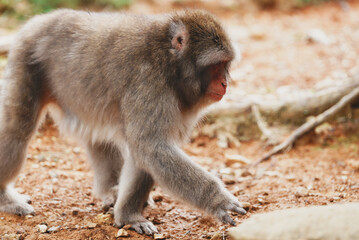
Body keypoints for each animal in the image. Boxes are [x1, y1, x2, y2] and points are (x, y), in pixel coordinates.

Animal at [0, 8, 246, 234]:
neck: (169, 61)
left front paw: (128, 214)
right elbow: (150, 147)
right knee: (17, 131)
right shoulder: (148, 81)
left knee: (98, 136)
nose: (224, 83)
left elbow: (146, 153)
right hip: (26, 57)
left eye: (225, 64)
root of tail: (41, 18)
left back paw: (112, 191)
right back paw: (5, 197)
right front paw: (218, 200)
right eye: (216, 65)